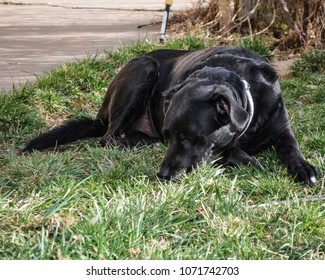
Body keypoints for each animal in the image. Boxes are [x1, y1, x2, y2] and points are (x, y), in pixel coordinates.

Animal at [24, 46, 316, 184]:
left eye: (189, 136)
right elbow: (227, 150)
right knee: (107, 138)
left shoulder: (283, 130)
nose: (162, 174)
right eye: (171, 134)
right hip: (143, 69)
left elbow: (292, 148)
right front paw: (249, 160)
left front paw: (303, 168)